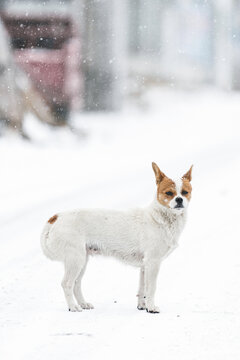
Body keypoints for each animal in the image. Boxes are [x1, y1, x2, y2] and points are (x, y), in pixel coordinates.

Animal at [40, 162, 192, 312]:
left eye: (185, 192)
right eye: (169, 193)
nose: (179, 199)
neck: (160, 218)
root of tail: (56, 217)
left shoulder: (145, 266)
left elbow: (142, 289)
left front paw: (142, 306)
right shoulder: (153, 262)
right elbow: (151, 288)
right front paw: (151, 307)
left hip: (82, 260)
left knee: (76, 284)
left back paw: (83, 304)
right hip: (75, 260)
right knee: (66, 283)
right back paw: (73, 307)